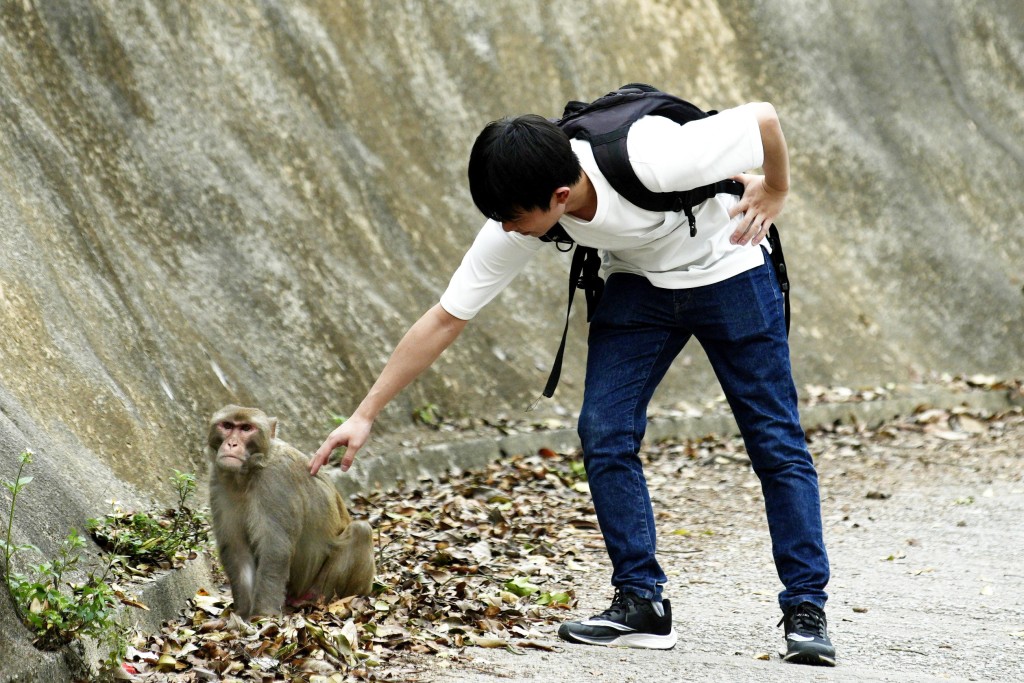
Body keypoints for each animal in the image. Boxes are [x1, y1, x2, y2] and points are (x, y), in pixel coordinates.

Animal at [205, 405, 374, 618]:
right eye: (227, 426)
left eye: (246, 428)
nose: (232, 443)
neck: (248, 473)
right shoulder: (218, 482)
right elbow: (237, 550)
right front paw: (242, 613)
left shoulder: (277, 481)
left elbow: (275, 549)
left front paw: (262, 615)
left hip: (322, 587)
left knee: (361, 531)